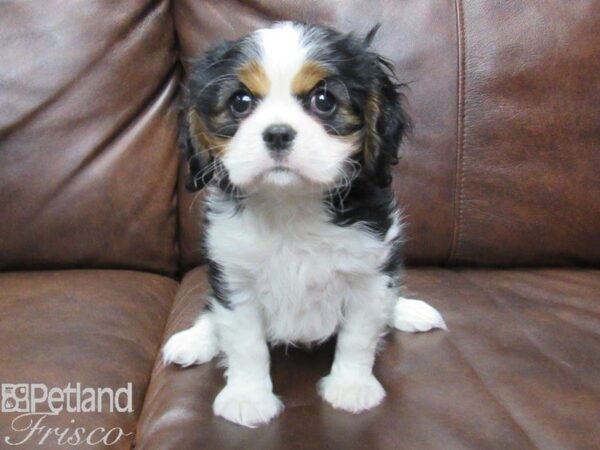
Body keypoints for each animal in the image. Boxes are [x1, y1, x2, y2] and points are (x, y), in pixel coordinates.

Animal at [163, 22, 446, 428]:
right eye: (240, 102)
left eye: (323, 100)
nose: (278, 133)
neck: (291, 206)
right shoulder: (235, 278)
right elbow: (245, 343)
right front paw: (248, 397)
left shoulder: (370, 274)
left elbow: (358, 337)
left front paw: (350, 387)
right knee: (210, 311)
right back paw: (194, 340)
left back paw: (406, 310)